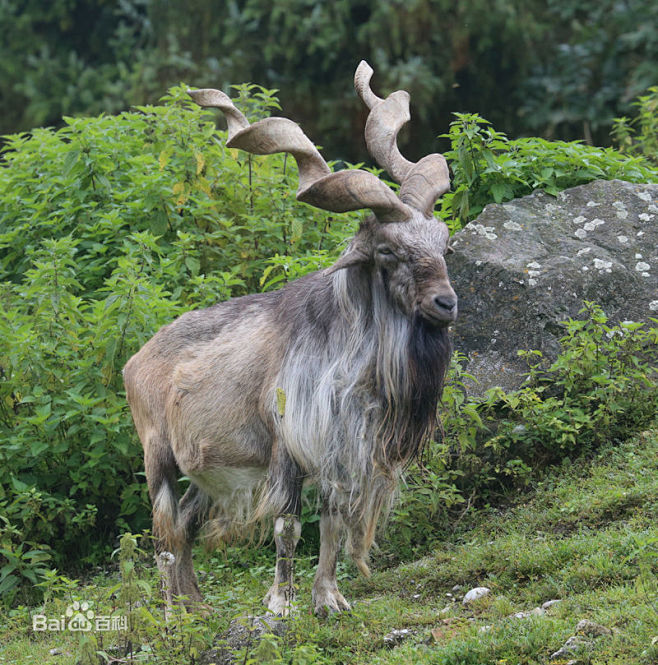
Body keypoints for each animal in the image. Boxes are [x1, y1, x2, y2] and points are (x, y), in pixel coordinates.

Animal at [121, 59, 456, 616]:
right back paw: (174, 614)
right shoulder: (287, 449)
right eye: (388, 251)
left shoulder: (339, 454)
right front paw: (280, 605)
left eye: (443, 243)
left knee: (186, 522)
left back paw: (197, 606)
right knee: (164, 534)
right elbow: (288, 527)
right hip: (157, 456)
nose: (446, 304)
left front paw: (330, 599)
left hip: (210, 470)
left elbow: (333, 524)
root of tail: (135, 361)